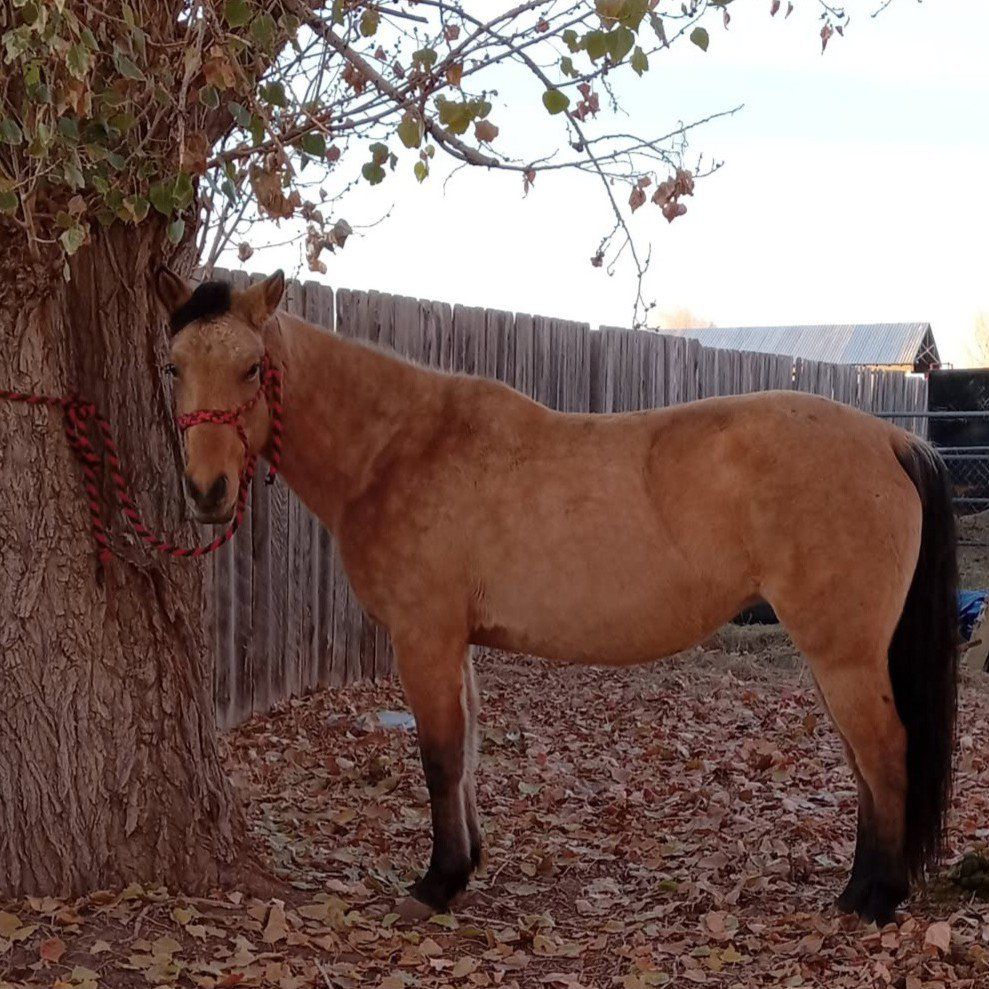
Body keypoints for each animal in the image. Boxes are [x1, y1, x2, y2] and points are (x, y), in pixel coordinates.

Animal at [153, 266, 958, 926]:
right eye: (173, 366)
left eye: (252, 368)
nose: (206, 492)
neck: (396, 449)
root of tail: (890, 439)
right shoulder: (454, 643)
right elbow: (467, 752)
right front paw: (464, 867)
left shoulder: (424, 637)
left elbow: (439, 757)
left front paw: (435, 884)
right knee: (863, 762)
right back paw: (856, 890)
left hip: (842, 651)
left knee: (884, 752)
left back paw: (876, 899)